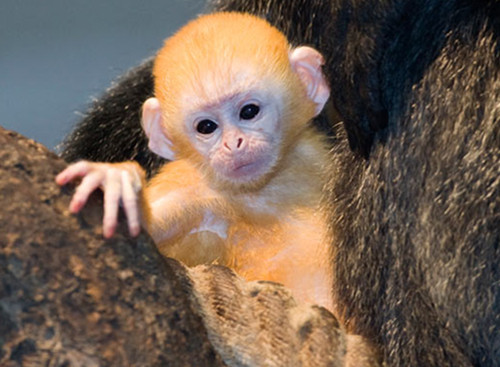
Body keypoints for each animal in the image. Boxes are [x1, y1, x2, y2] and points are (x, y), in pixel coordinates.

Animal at [56, 11, 332, 310]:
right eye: (206, 127)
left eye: (249, 111)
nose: (233, 143)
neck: (265, 189)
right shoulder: (194, 192)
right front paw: (114, 181)